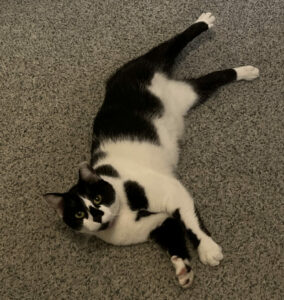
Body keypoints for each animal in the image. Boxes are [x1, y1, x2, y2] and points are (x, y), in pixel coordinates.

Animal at [44, 12, 260, 290]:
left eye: (97, 198)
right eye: (79, 213)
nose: (98, 215)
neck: (124, 211)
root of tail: (168, 83)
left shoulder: (173, 191)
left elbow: (191, 223)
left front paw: (208, 249)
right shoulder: (156, 224)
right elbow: (173, 237)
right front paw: (183, 269)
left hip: (145, 64)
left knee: (174, 43)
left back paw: (207, 23)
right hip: (191, 94)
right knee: (214, 77)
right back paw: (243, 71)